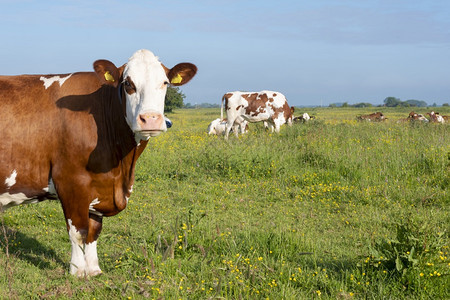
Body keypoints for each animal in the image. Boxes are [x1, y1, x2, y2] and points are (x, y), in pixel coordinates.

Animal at [0, 49, 197, 276]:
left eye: (165, 82)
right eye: (128, 84)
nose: (150, 119)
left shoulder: (99, 187)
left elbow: (94, 231)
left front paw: (94, 269)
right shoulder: (70, 182)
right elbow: (78, 231)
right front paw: (77, 271)